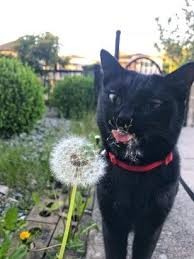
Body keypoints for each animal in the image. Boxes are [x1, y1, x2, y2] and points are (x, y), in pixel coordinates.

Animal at [97, 49, 194, 259]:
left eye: (153, 104)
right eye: (114, 97)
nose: (123, 118)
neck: (134, 171)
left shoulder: (150, 229)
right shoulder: (111, 224)